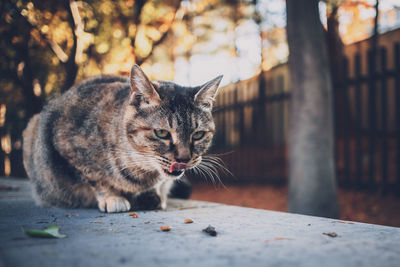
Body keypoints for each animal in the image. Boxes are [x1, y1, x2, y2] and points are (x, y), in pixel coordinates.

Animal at [22, 65, 222, 214]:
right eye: (162, 133)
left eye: (198, 134)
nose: (184, 159)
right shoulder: (68, 148)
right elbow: (95, 177)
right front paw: (112, 197)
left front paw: (152, 195)